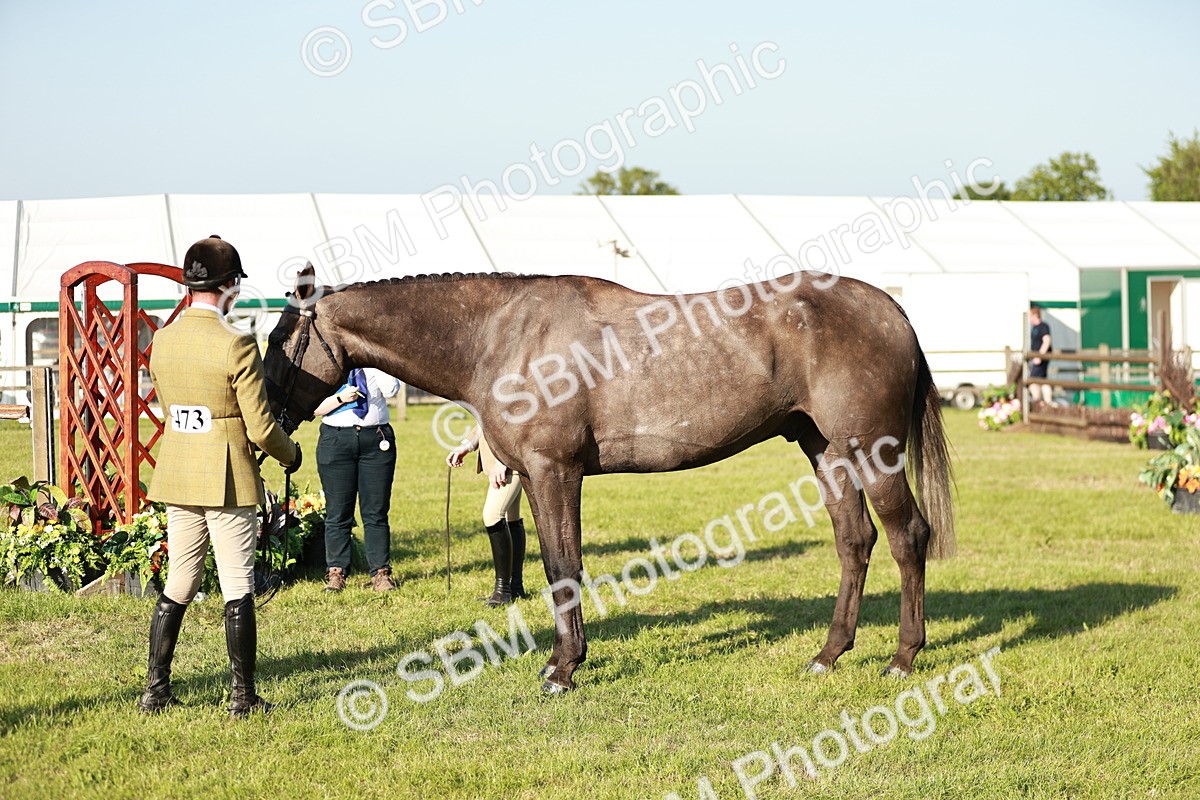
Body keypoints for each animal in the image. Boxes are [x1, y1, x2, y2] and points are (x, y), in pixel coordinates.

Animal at [262, 264, 955, 693]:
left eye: (278, 341)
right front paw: (562, 660)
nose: (267, 416)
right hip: (827, 451)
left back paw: (902, 658)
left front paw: (563, 670)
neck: (499, 336)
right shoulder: (538, 477)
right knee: (854, 542)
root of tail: (891, 309)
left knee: (906, 538)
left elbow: (563, 568)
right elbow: (551, 566)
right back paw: (828, 654)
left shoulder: (554, 472)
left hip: (873, 452)